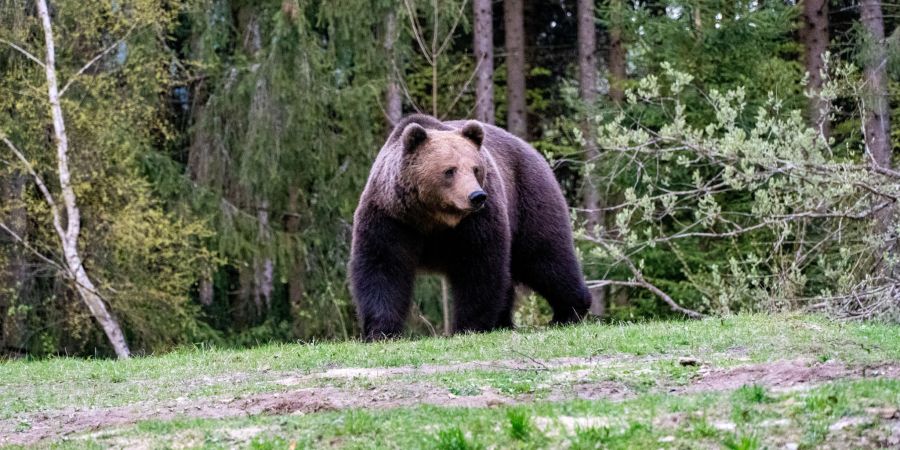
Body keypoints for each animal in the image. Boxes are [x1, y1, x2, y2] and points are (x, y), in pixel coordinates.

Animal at [350, 114, 591, 340]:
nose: (476, 196)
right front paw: (381, 331)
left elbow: (479, 267)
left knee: (546, 258)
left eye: (475, 169)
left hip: (528, 200)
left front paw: (469, 326)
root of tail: (532, 150)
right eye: (449, 170)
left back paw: (569, 312)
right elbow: (382, 267)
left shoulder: (476, 221)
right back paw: (505, 321)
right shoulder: (392, 218)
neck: (432, 218)